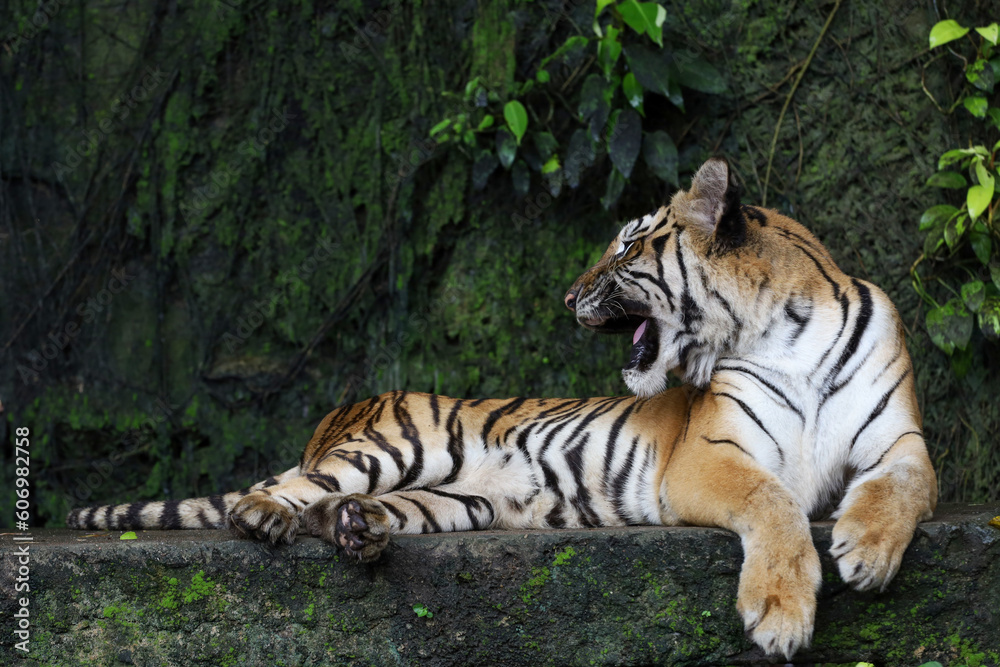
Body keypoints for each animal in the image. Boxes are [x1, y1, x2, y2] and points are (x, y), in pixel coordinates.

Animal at [67, 157, 937, 659]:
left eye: (626, 246)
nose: (567, 295)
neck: (785, 324)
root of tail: (336, 416)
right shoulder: (710, 456)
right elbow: (775, 501)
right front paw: (782, 614)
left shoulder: (902, 440)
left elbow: (906, 487)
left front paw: (867, 549)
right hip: (395, 445)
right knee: (281, 490)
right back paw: (266, 517)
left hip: (460, 500)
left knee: (341, 508)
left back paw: (358, 529)